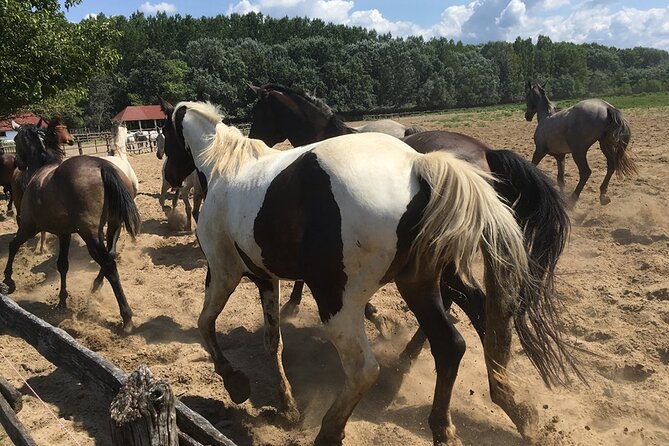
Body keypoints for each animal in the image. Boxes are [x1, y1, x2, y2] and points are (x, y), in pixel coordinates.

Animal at [3, 118, 140, 332]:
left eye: (16, 139)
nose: (17, 162)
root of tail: (103, 166)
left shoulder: (29, 226)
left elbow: (14, 245)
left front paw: (9, 279)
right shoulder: (65, 233)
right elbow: (62, 264)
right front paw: (62, 300)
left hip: (90, 233)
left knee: (109, 264)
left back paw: (126, 317)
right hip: (113, 225)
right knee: (110, 255)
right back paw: (96, 286)